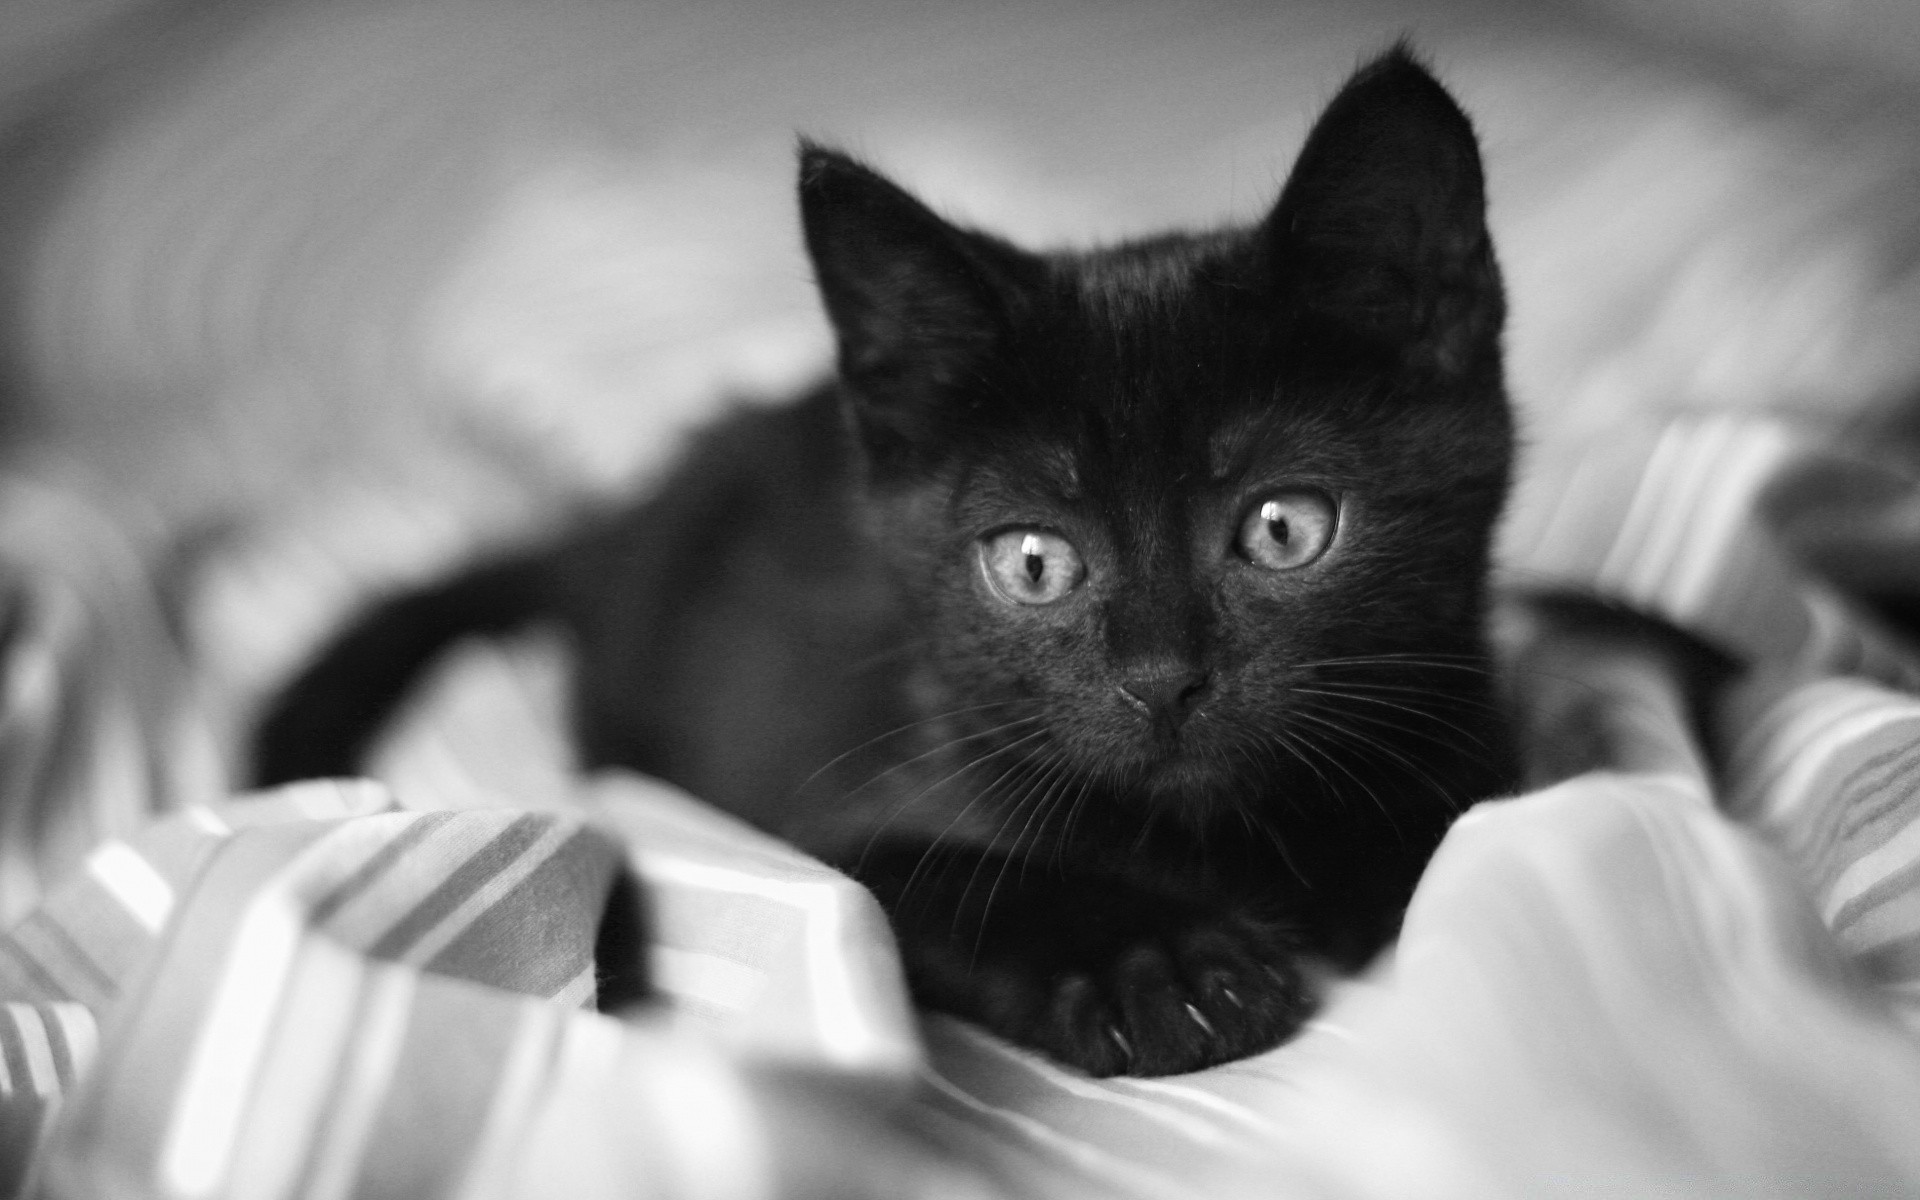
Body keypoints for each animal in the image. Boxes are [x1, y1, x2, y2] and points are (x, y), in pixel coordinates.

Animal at [255, 49, 1512, 1075]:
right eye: (1035, 562)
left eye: (1284, 527)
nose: (1161, 680)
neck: (1220, 841)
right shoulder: (807, 818)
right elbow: (936, 878)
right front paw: (1155, 966)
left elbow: (1447, 828)